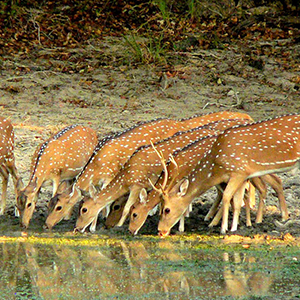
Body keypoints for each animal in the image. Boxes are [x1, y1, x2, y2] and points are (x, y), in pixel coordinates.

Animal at [158, 113, 296, 236]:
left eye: (167, 209)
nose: (160, 230)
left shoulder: (238, 172)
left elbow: (227, 197)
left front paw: (224, 229)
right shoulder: (240, 176)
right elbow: (236, 201)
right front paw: (235, 226)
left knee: (267, 185)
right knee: (273, 183)